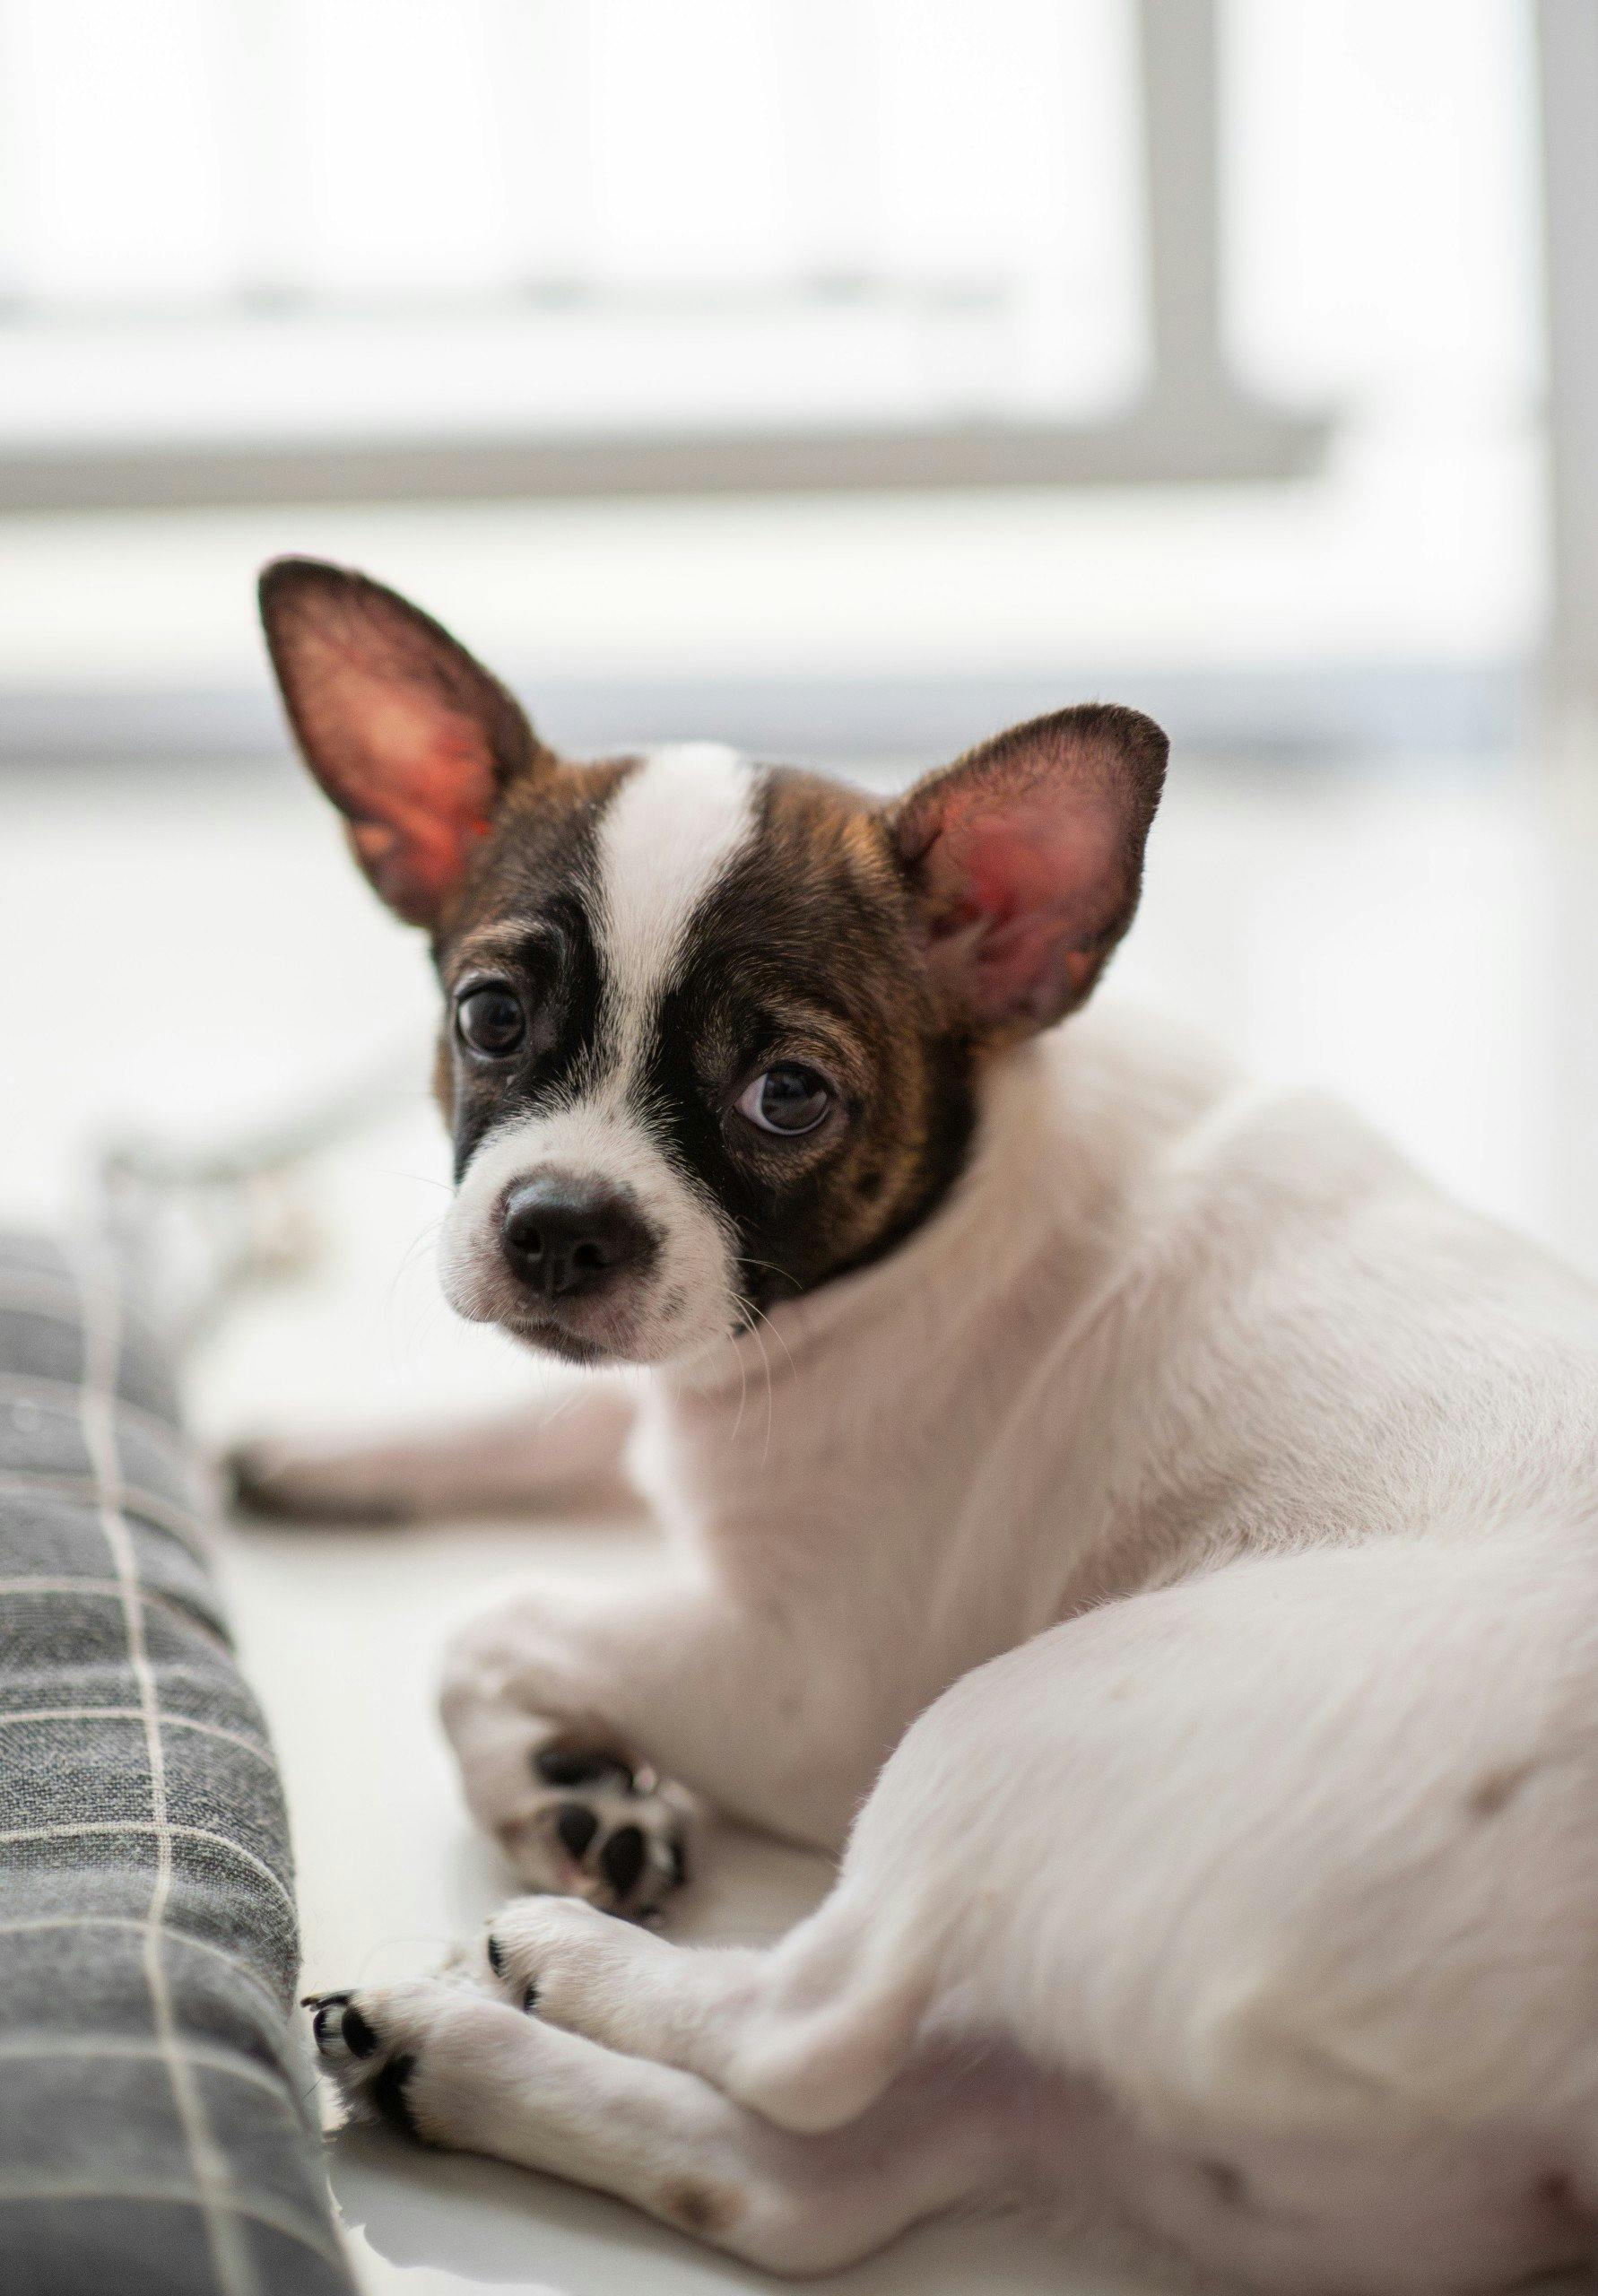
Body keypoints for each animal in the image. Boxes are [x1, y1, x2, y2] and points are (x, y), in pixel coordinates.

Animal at [237, 560, 1598, 2296]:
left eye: (788, 1097)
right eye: (486, 1018)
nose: (558, 1227)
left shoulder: (797, 1680)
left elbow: (487, 1620)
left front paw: (555, 1785)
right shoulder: (668, 1381)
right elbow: (530, 1430)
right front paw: (309, 1451)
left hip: (992, 1731)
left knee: (806, 2034)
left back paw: (555, 1961)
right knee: (803, 2187)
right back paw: (444, 2058)